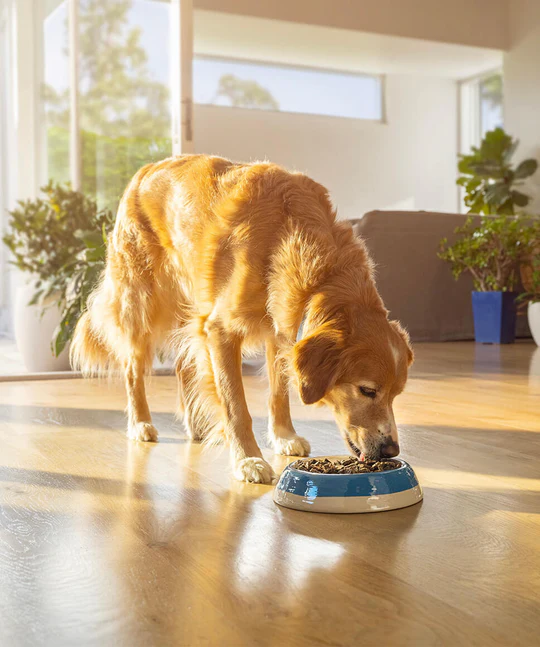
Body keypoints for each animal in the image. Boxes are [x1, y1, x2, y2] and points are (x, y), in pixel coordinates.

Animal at [69, 154, 412, 484]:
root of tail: (146, 170)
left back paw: (195, 424)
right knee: (133, 370)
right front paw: (248, 460)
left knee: (182, 364)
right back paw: (141, 423)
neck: (287, 234)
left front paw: (284, 437)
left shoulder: (280, 331)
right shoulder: (220, 330)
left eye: (397, 394)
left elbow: (279, 394)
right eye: (367, 390)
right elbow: (235, 406)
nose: (391, 449)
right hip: (141, 303)